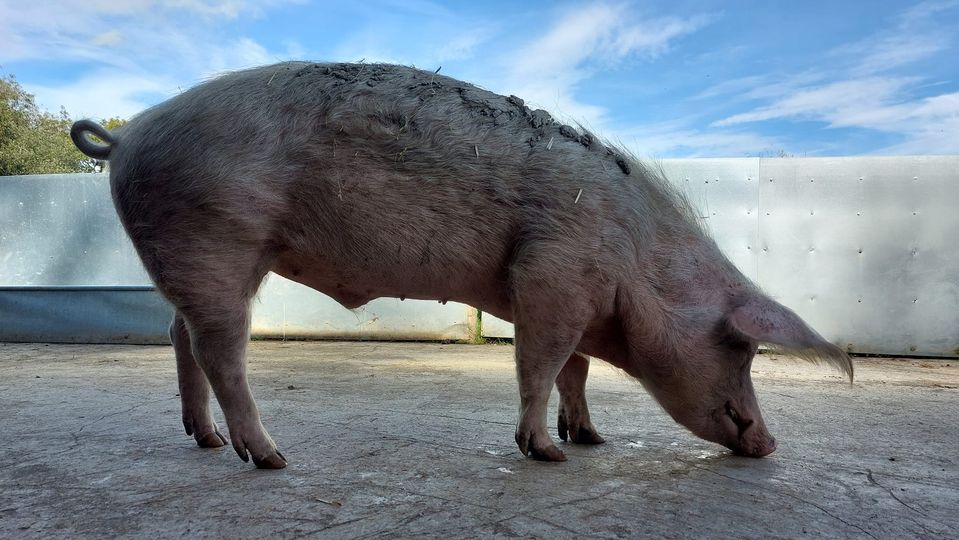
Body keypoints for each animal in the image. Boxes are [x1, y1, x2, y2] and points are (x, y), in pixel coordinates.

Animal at [71, 61, 853, 469]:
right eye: (740, 348)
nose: (770, 442)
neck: (634, 263)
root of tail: (126, 137)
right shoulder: (550, 275)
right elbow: (541, 363)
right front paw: (548, 454)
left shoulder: (575, 295)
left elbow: (574, 370)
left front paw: (590, 438)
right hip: (216, 238)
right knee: (219, 348)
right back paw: (271, 458)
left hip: (200, 256)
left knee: (178, 336)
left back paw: (203, 441)